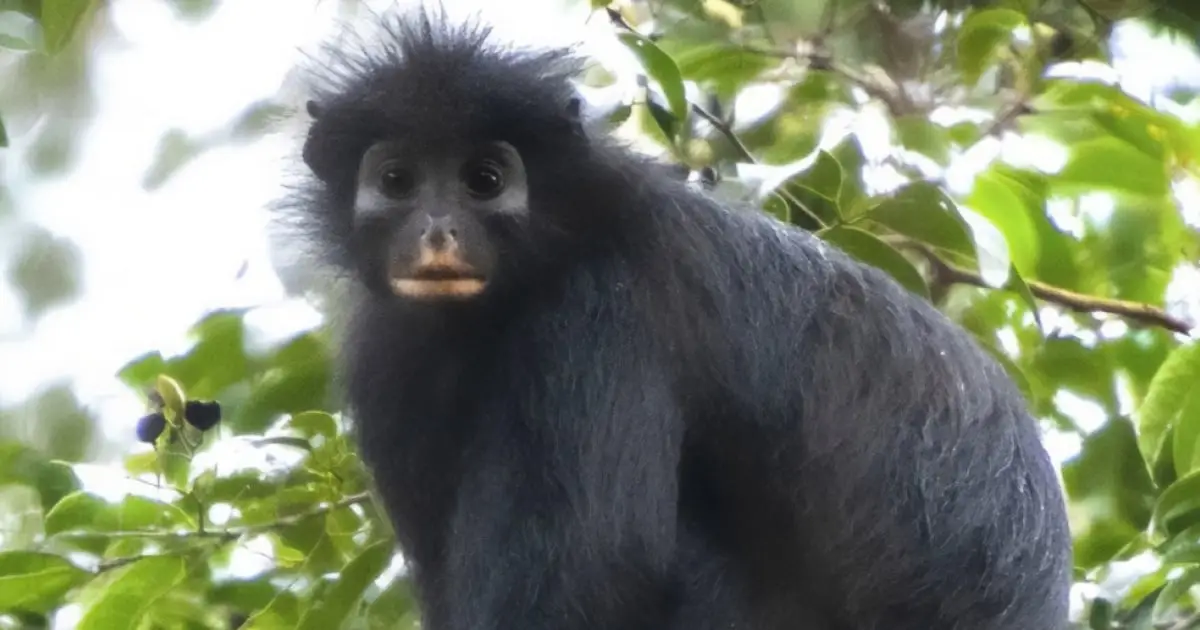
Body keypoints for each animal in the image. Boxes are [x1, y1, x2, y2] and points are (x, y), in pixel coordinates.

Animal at [281, 8, 1073, 630]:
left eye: (484, 180)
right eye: (397, 181)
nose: (437, 232)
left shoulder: (598, 313)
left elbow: (599, 572)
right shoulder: (388, 356)